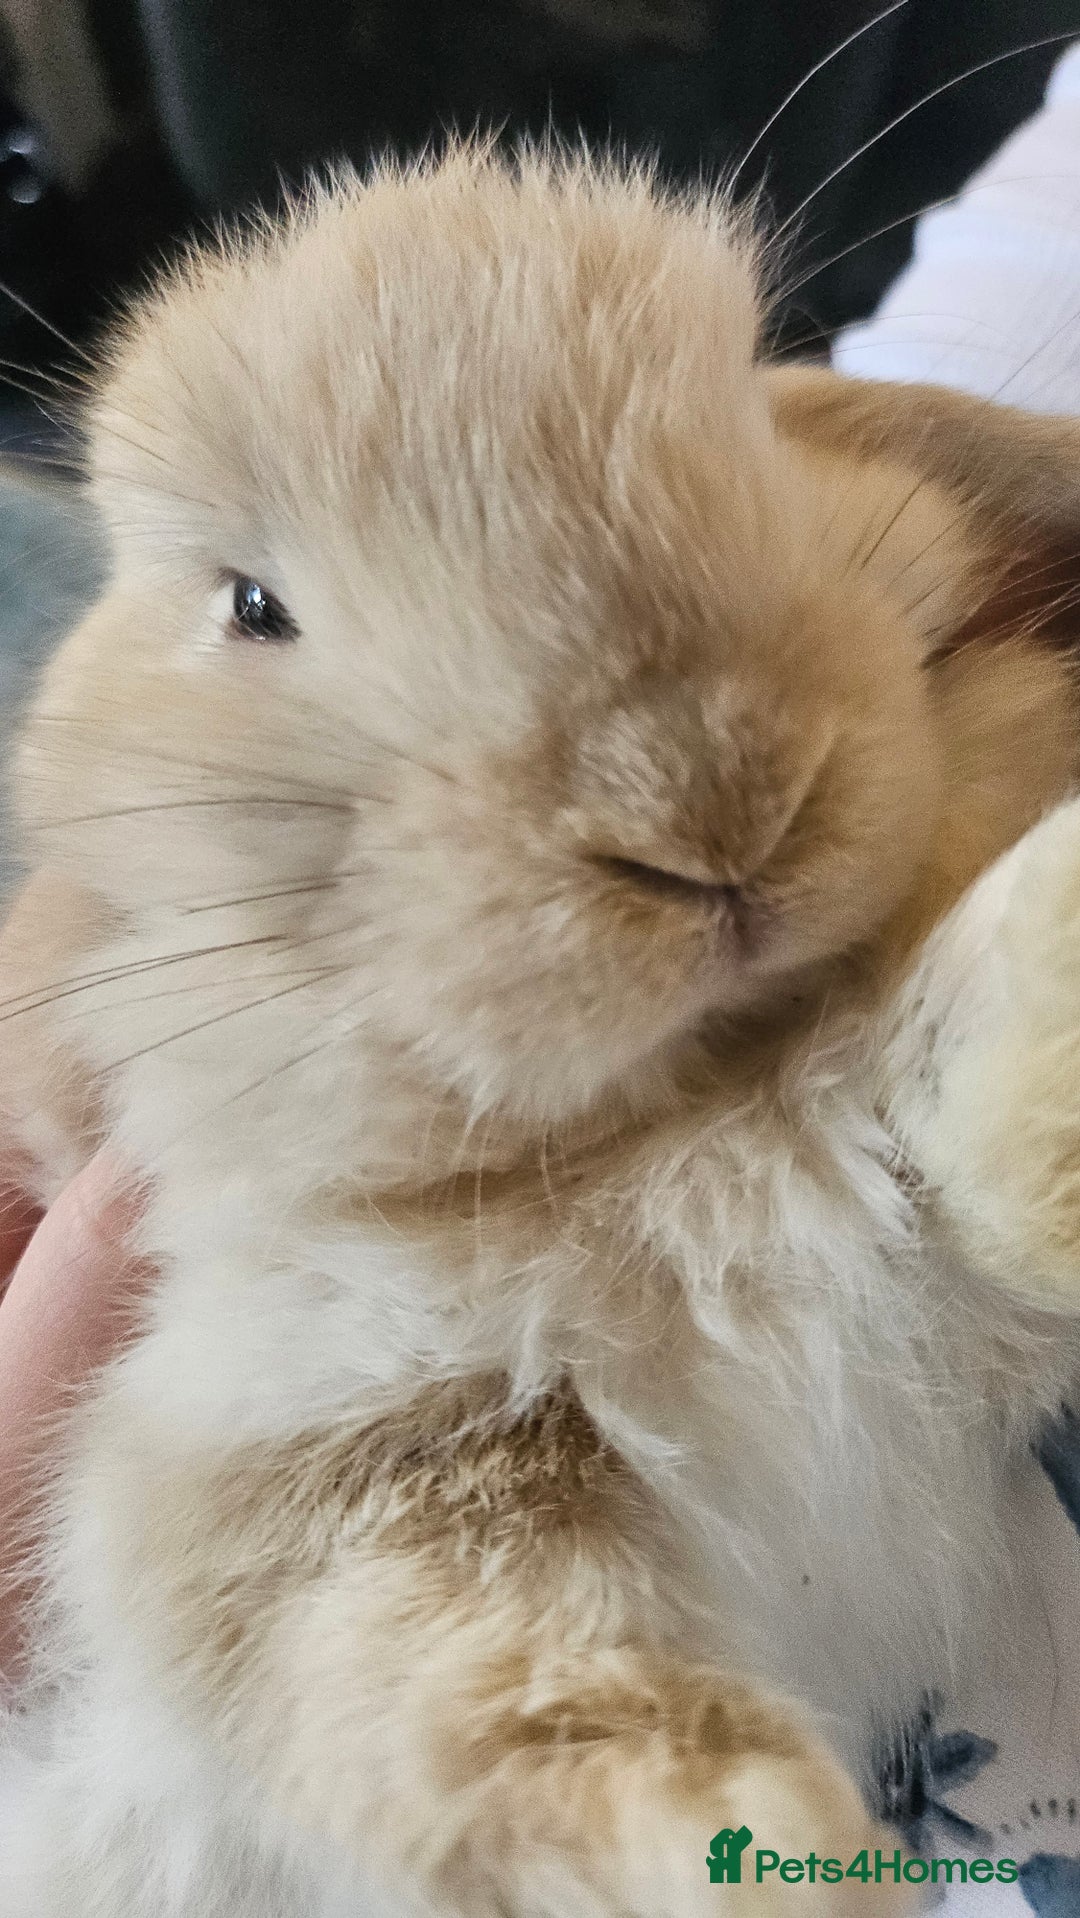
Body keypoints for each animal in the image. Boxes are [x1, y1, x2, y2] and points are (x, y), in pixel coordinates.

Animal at [2, 145, 1080, 1916]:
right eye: (250, 605)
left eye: (752, 409)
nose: (708, 803)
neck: (682, 1115)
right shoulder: (351, 1486)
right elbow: (562, 1730)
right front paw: (784, 1861)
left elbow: (992, 1077)